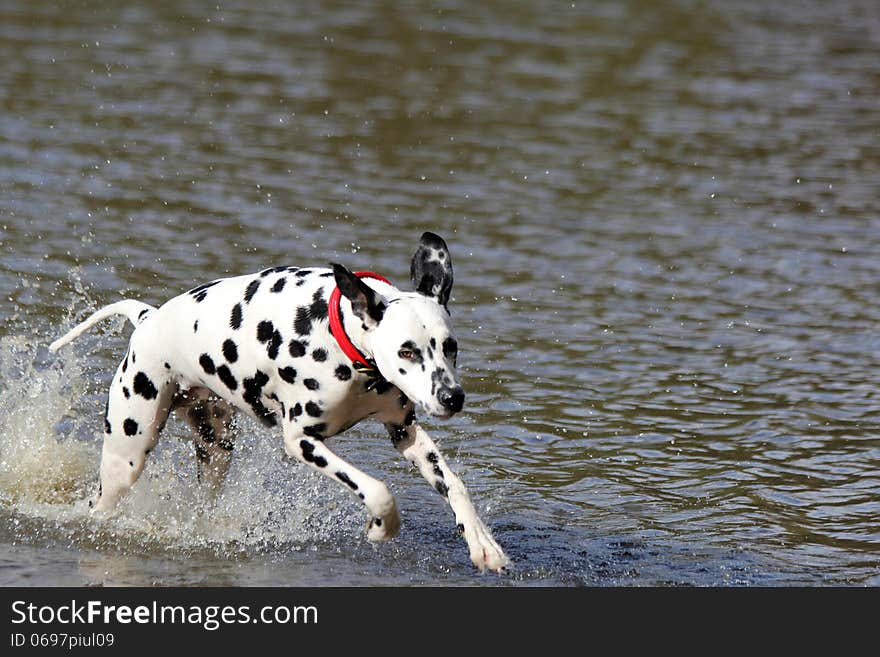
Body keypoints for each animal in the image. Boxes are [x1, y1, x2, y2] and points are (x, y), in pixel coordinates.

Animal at [51, 233, 508, 572]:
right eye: (408, 351)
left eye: (450, 346)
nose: (453, 397)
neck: (343, 343)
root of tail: (148, 319)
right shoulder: (302, 441)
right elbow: (378, 491)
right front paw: (381, 528)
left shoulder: (405, 431)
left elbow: (455, 485)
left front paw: (484, 545)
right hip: (126, 457)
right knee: (102, 502)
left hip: (216, 449)